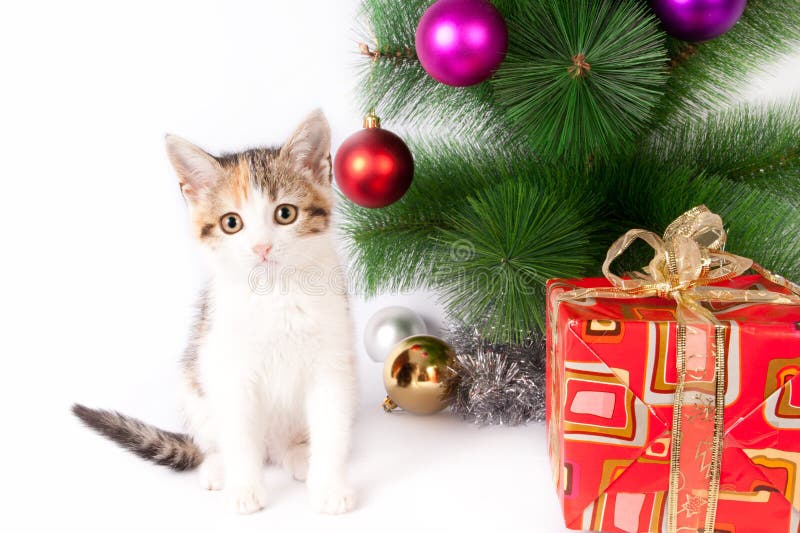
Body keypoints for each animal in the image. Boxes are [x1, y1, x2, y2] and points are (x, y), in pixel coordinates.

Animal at [74, 110, 356, 512]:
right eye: (231, 223)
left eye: (285, 213)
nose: (261, 247)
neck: (274, 294)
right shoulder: (230, 368)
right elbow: (239, 434)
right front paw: (245, 489)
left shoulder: (331, 363)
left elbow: (331, 427)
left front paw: (330, 487)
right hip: (195, 386)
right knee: (220, 438)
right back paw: (218, 467)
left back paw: (299, 454)